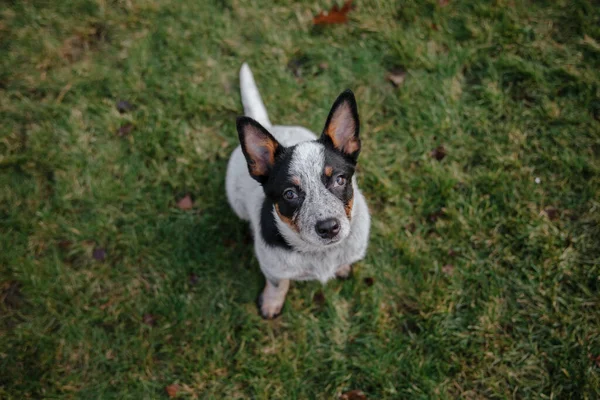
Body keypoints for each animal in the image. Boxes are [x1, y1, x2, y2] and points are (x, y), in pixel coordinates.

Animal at [224, 63, 368, 318]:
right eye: (289, 194)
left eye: (340, 179)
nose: (329, 228)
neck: (320, 254)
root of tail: (269, 126)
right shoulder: (272, 268)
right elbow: (278, 284)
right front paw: (272, 303)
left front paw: (342, 267)